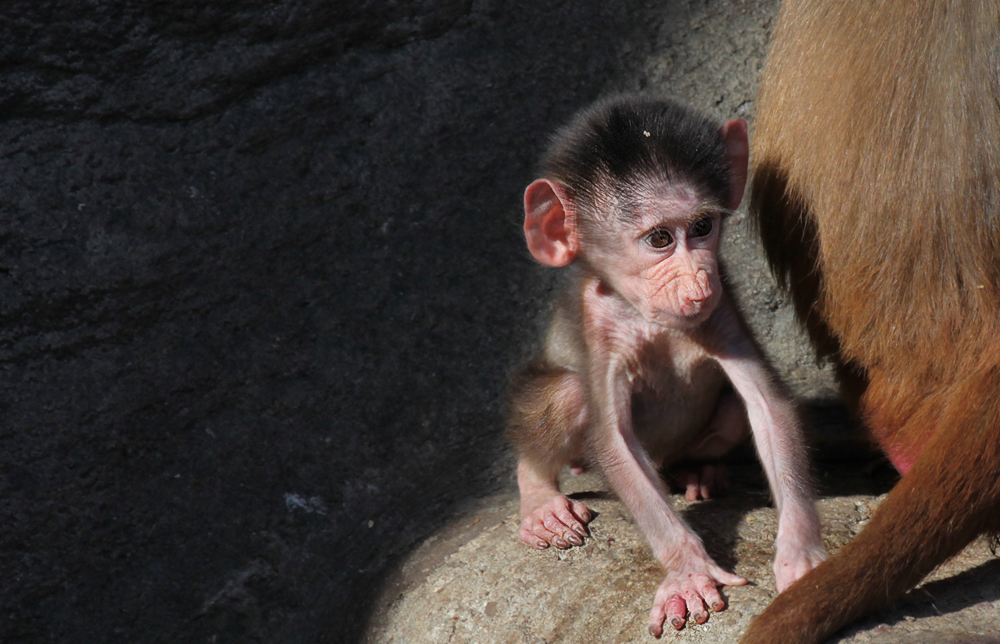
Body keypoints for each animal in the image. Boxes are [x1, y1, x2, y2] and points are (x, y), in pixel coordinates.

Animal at [508, 97, 828, 640]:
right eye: (659, 239)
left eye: (702, 228)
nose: (699, 280)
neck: (649, 316)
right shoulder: (598, 323)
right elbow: (613, 441)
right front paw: (687, 572)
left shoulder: (721, 309)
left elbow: (768, 406)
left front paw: (802, 555)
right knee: (569, 394)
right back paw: (540, 498)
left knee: (731, 415)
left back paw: (697, 471)